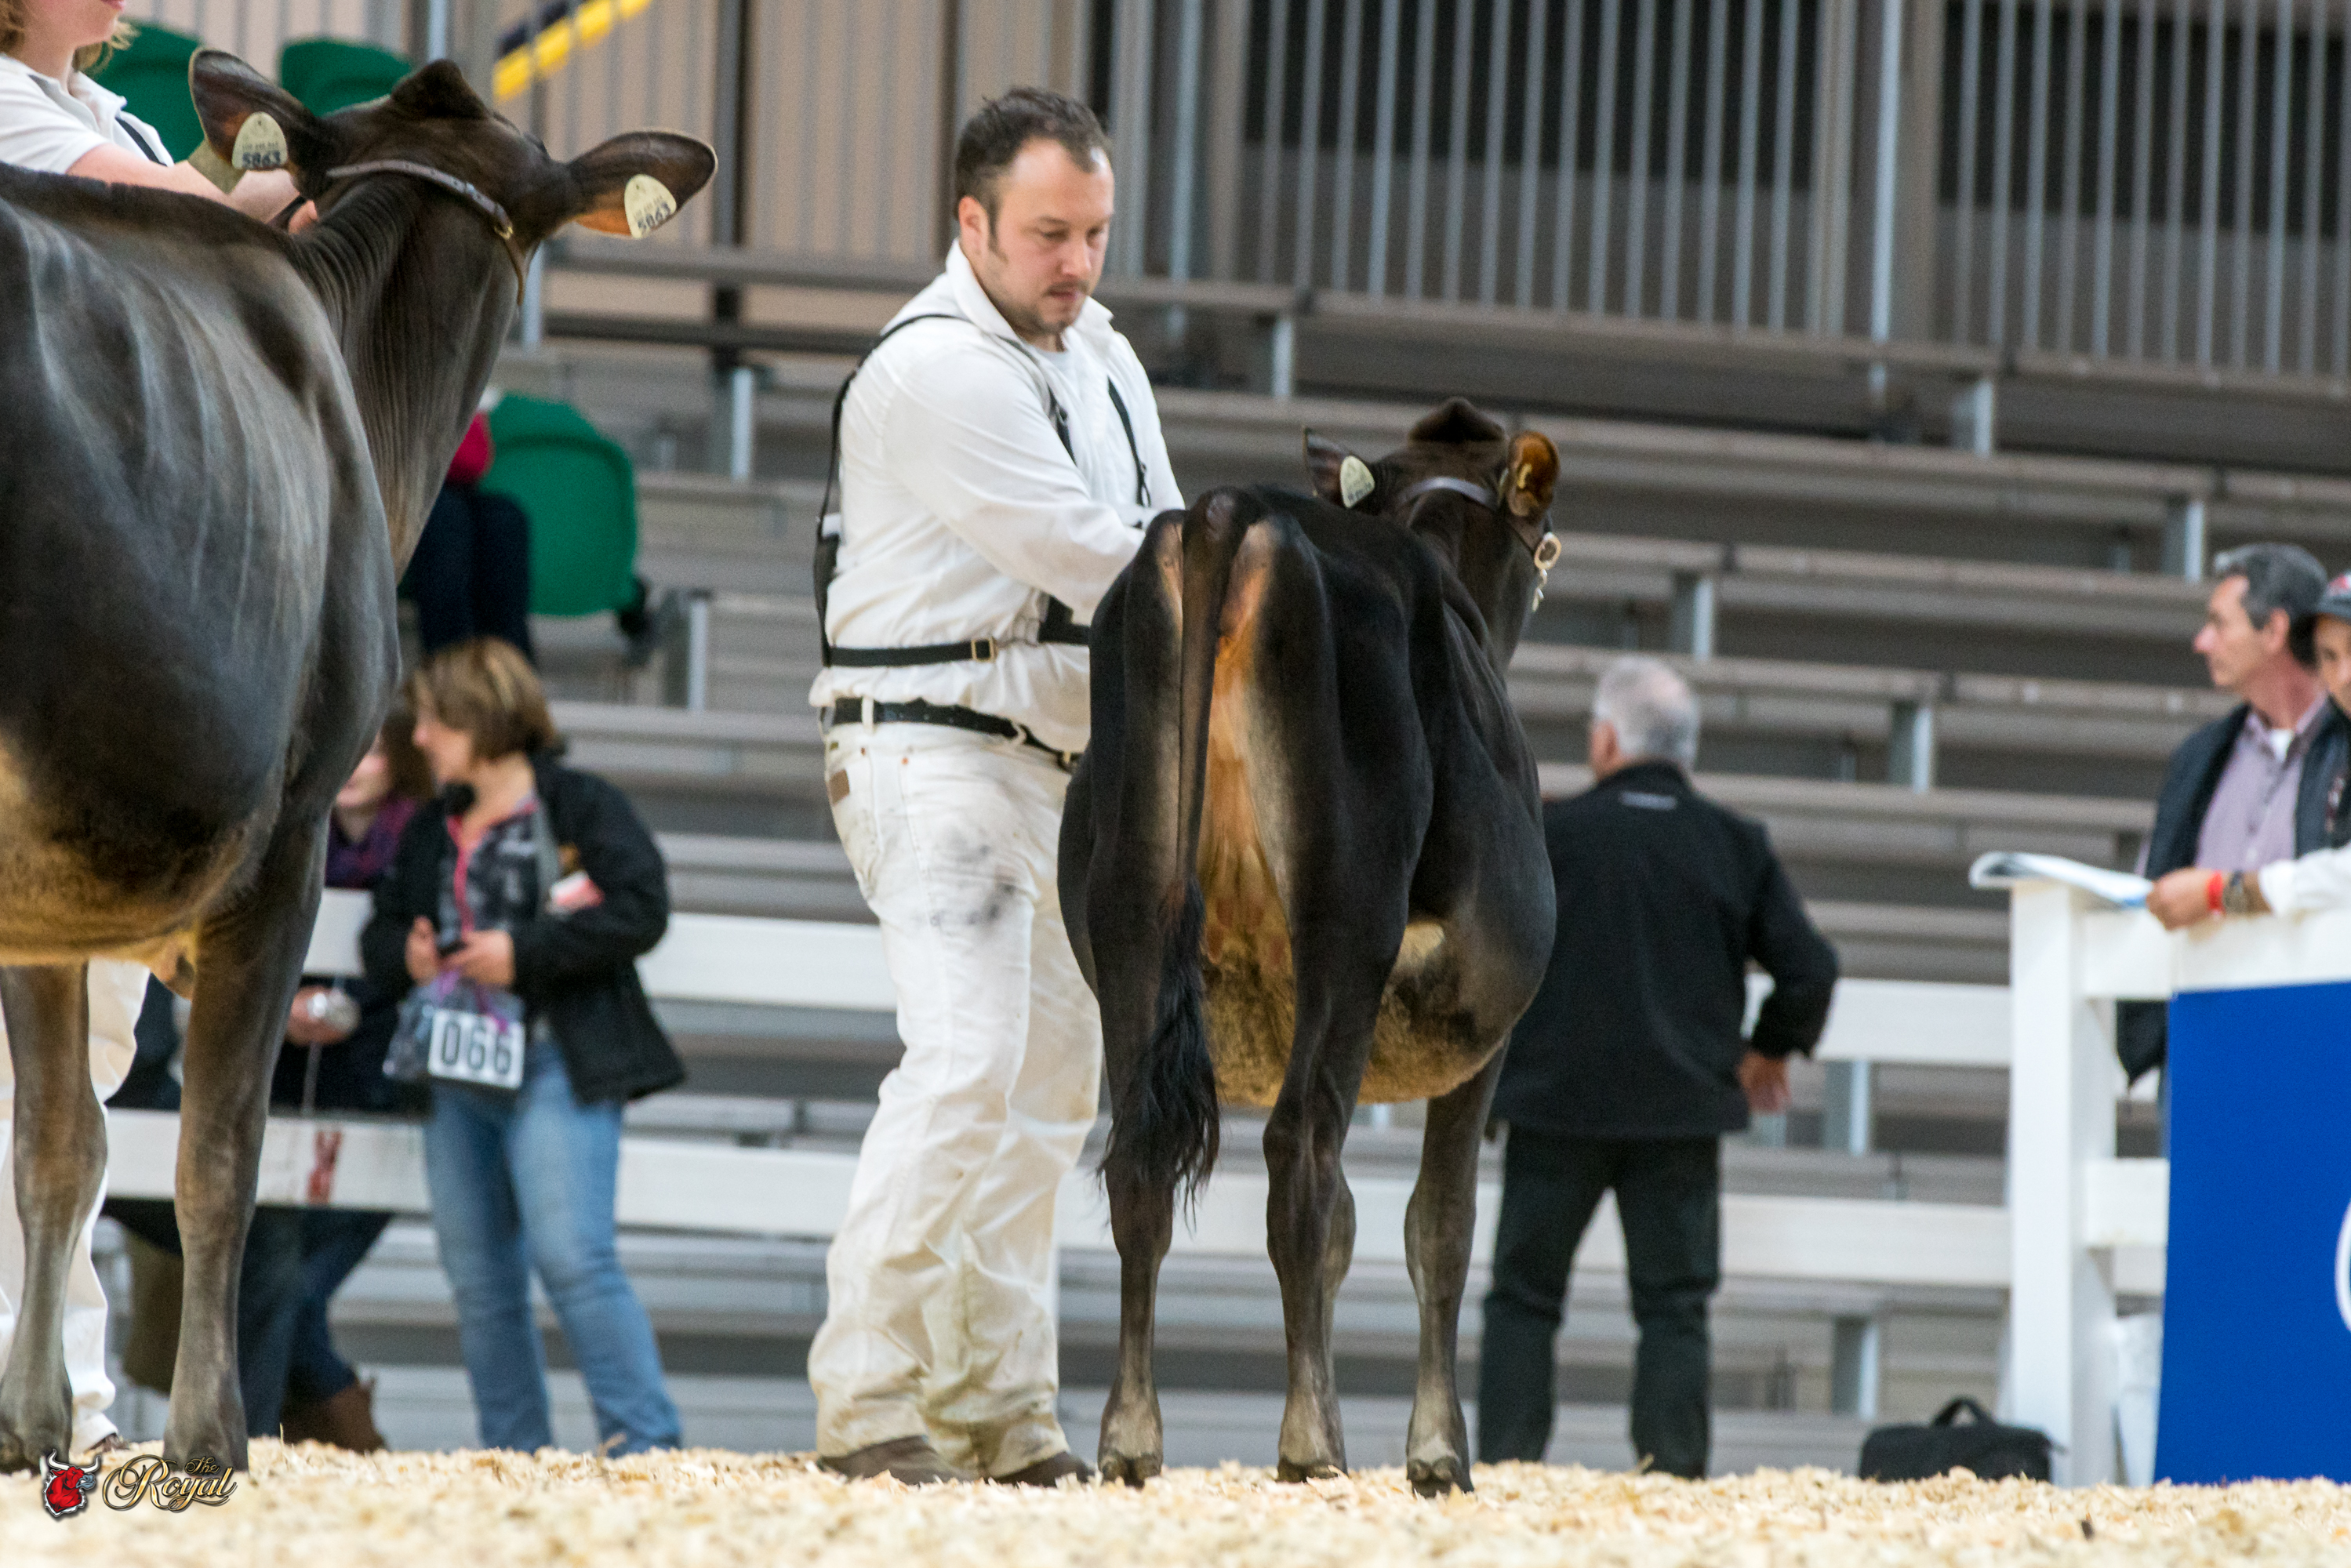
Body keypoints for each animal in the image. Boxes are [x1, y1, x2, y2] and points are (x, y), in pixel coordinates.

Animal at [0, 49, 711, 1473]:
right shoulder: (289, 844)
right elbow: (219, 1150)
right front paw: (211, 1441)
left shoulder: (54, 884)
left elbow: (60, 1143)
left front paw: (35, 1429)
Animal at [1061, 398, 1565, 1495]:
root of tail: (1227, 512)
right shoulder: (1487, 1026)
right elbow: (1438, 1226)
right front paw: (1438, 1452)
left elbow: (1346, 1234)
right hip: (1346, 910)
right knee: (1300, 1149)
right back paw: (1308, 1445)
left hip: (1127, 910)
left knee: (1138, 1167)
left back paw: (1130, 1438)